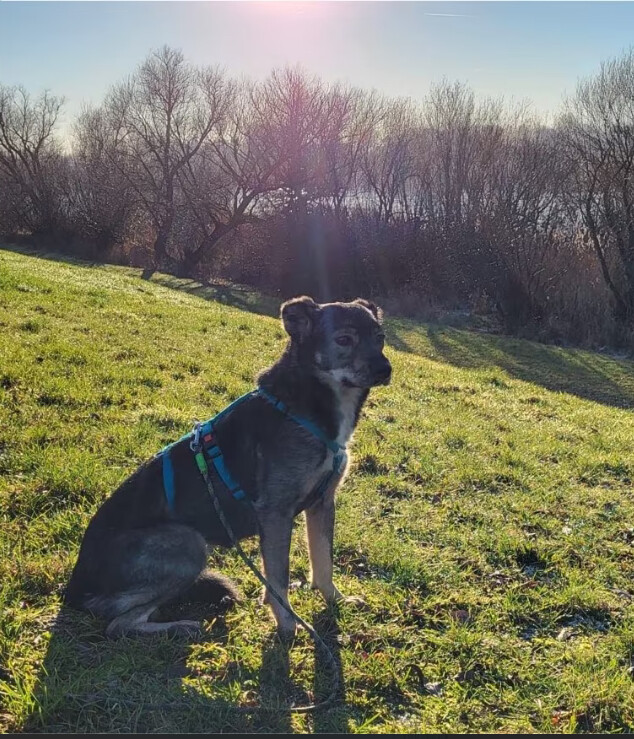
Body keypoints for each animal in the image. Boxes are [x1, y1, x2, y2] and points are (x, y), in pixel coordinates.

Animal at [64, 296, 392, 638]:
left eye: (380, 338)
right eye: (344, 340)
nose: (386, 369)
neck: (307, 404)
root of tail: (73, 587)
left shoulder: (323, 503)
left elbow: (323, 561)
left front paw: (336, 600)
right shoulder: (275, 513)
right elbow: (279, 578)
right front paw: (287, 624)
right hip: (188, 543)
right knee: (116, 621)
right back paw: (181, 626)